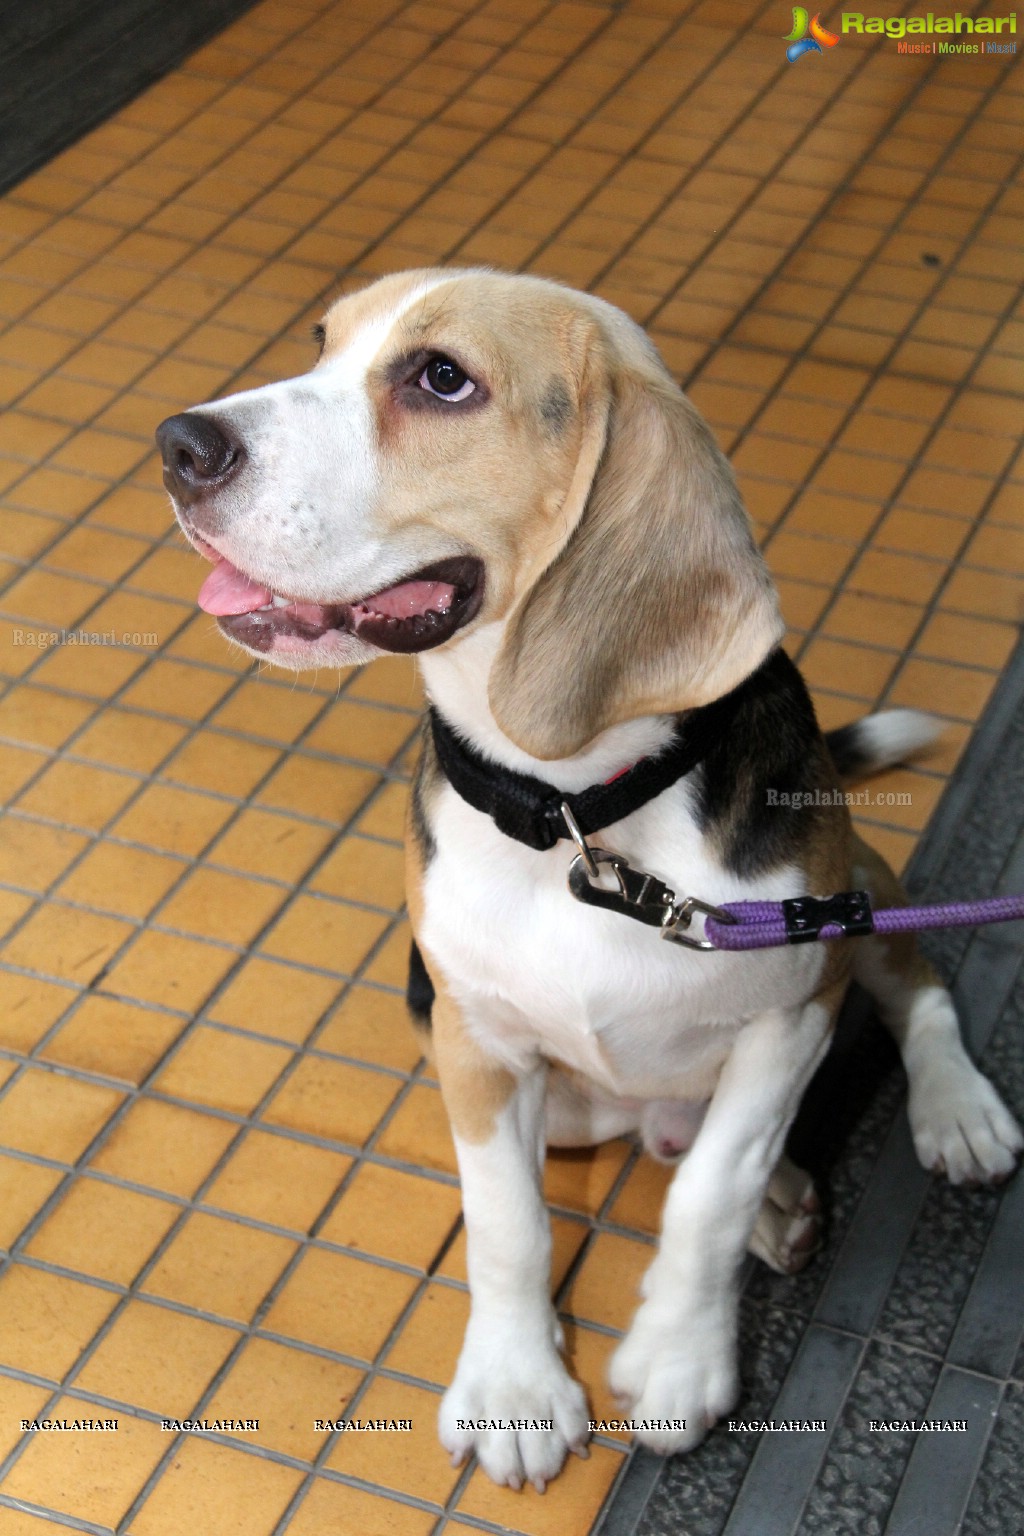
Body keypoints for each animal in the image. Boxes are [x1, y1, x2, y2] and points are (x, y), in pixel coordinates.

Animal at [156, 270, 1019, 1492]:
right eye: (320, 342)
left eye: (442, 379)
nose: (178, 445)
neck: (577, 819)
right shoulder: (473, 1038)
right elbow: (508, 1223)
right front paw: (515, 1388)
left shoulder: (793, 1009)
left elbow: (711, 1191)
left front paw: (678, 1358)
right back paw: (786, 1203)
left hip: (851, 897)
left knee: (914, 989)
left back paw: (954, 1113)